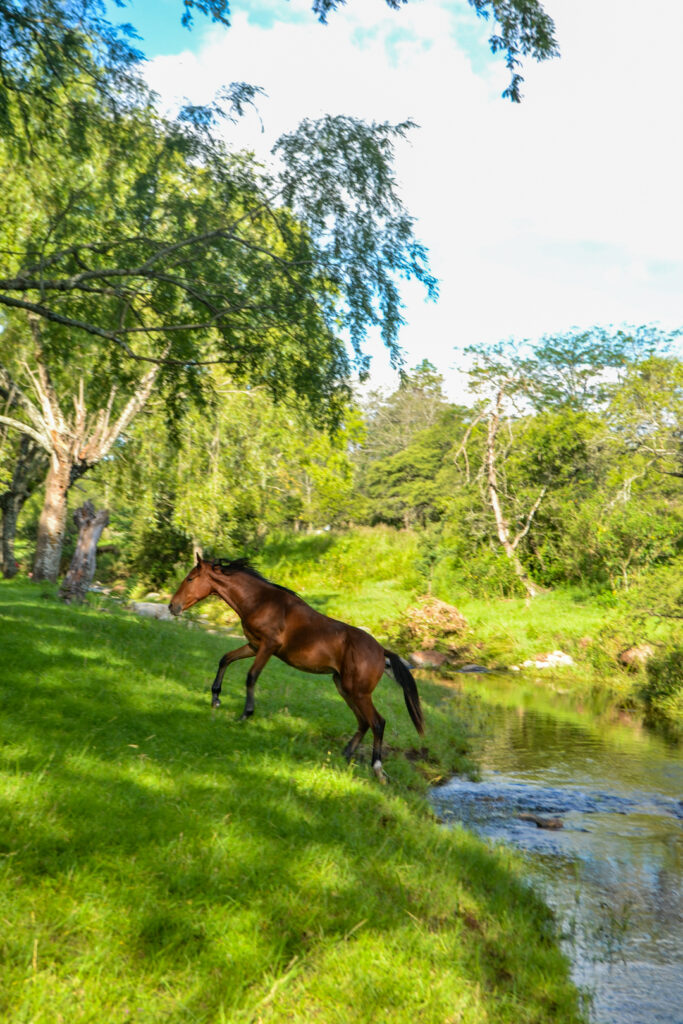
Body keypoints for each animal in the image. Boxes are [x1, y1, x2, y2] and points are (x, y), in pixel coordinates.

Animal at [167, 557, 421, 778]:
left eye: (190, 578)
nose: (172, 606)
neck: (260, 601)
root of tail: (381, 651)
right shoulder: (254, 645)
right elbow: (225, 659)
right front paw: (216, 698)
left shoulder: (268, 646)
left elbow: (251, 676)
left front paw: (245, 714)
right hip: (344, 687)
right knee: (364, 722)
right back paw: (345, 754)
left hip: (359, 692)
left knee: (377, 722)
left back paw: (377, 769)